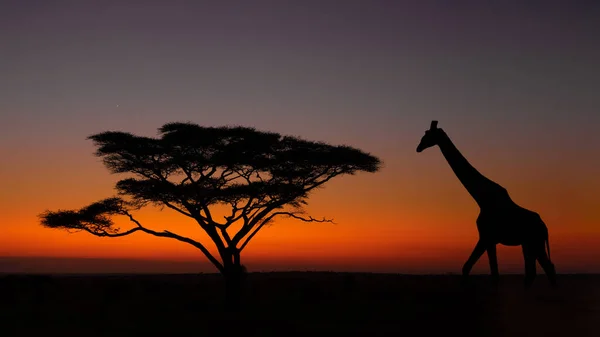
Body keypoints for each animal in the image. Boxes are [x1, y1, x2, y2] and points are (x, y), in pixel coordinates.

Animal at [414, 120, 556, 286]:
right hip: (529, 244)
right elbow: (470, 268)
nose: (418, 147)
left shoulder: (487, 237)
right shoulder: (488, 238)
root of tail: (544, 227)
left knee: (545, 269)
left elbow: (490, 273)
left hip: (535, 242)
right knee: (537, 270)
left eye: (427, 134)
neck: (481, 198)